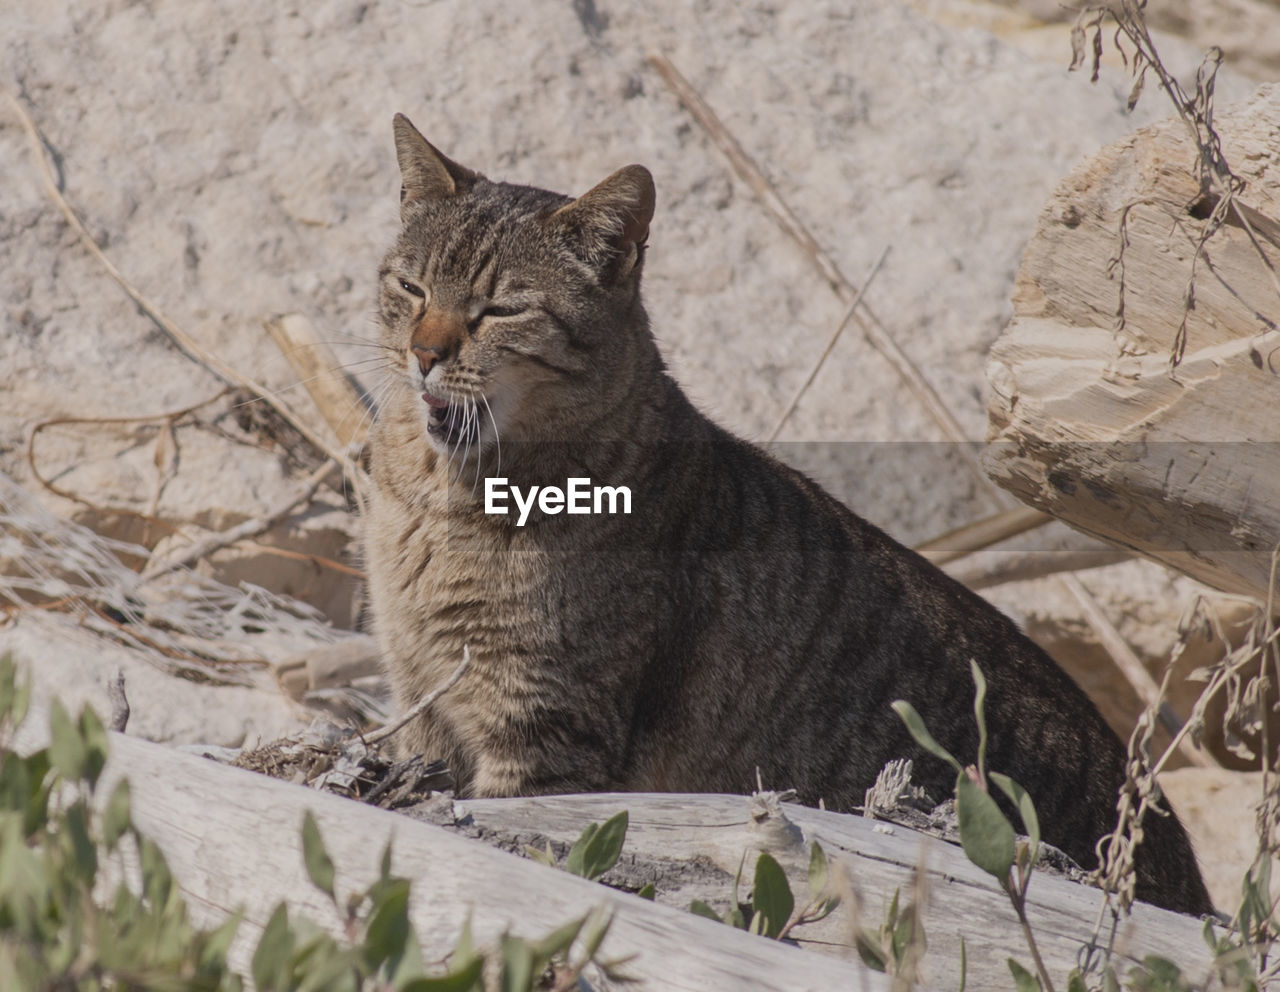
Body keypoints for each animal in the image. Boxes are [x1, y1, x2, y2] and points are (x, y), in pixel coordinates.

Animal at [363, 114, 1208, 916]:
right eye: (411, 286)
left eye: (501, 309)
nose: (424, 353)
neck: (441, 501)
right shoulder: (419, 696)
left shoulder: (546, 729)